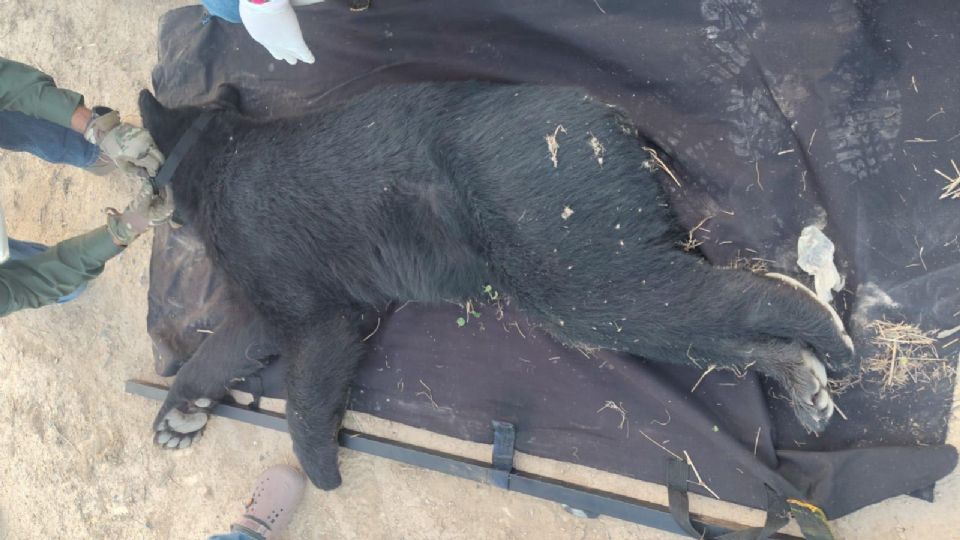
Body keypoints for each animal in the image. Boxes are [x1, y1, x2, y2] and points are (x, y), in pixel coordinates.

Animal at [139, 82, 854, 490]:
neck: (217, 155)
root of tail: (608, 116)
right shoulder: (275, 297)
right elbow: (226, 344)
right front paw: (178, 413)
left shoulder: (313, 302)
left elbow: (306, 375)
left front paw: (319, 471)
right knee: (687, 324)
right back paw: (804, 379)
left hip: (546, 219)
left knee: (669, 300)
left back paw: (827, 334)